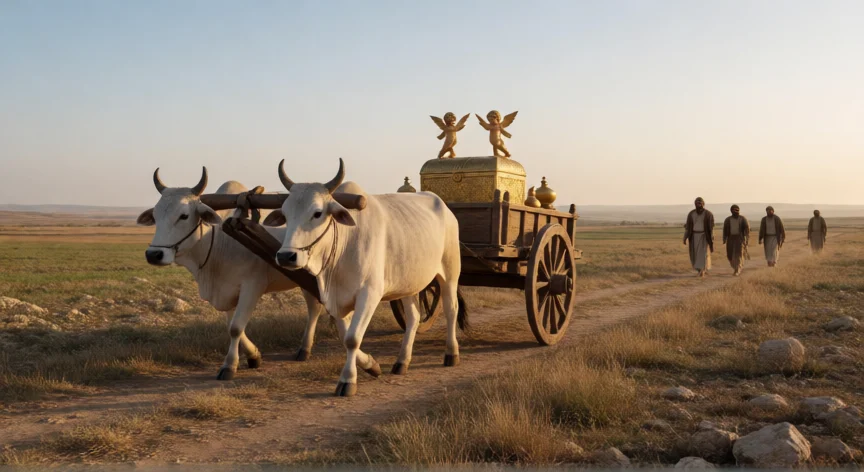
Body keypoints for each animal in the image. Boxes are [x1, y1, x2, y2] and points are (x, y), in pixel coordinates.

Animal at [136, 168, 336, 380]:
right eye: (155, 216)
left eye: (183, 215)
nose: (154, 254)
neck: (217, 241)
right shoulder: (227, 291)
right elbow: (231, 325)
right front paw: (254, 355)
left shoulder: (252, 287)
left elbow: (236, 327)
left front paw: (229, 366)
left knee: (314, 308)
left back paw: (305, 348)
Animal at [272, 158, 466, 396]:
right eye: (285, 214)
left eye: (317, 213)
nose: (286, 256)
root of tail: (445, 207)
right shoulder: (336, 299)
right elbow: (345, 336)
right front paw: (371, 365)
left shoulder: (369, 294)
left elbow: (352, 338)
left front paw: (348, 380)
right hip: (409, 284)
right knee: (413, 318)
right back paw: (402, 362)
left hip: (449, 273)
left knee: (451, 309)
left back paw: (451, 354)